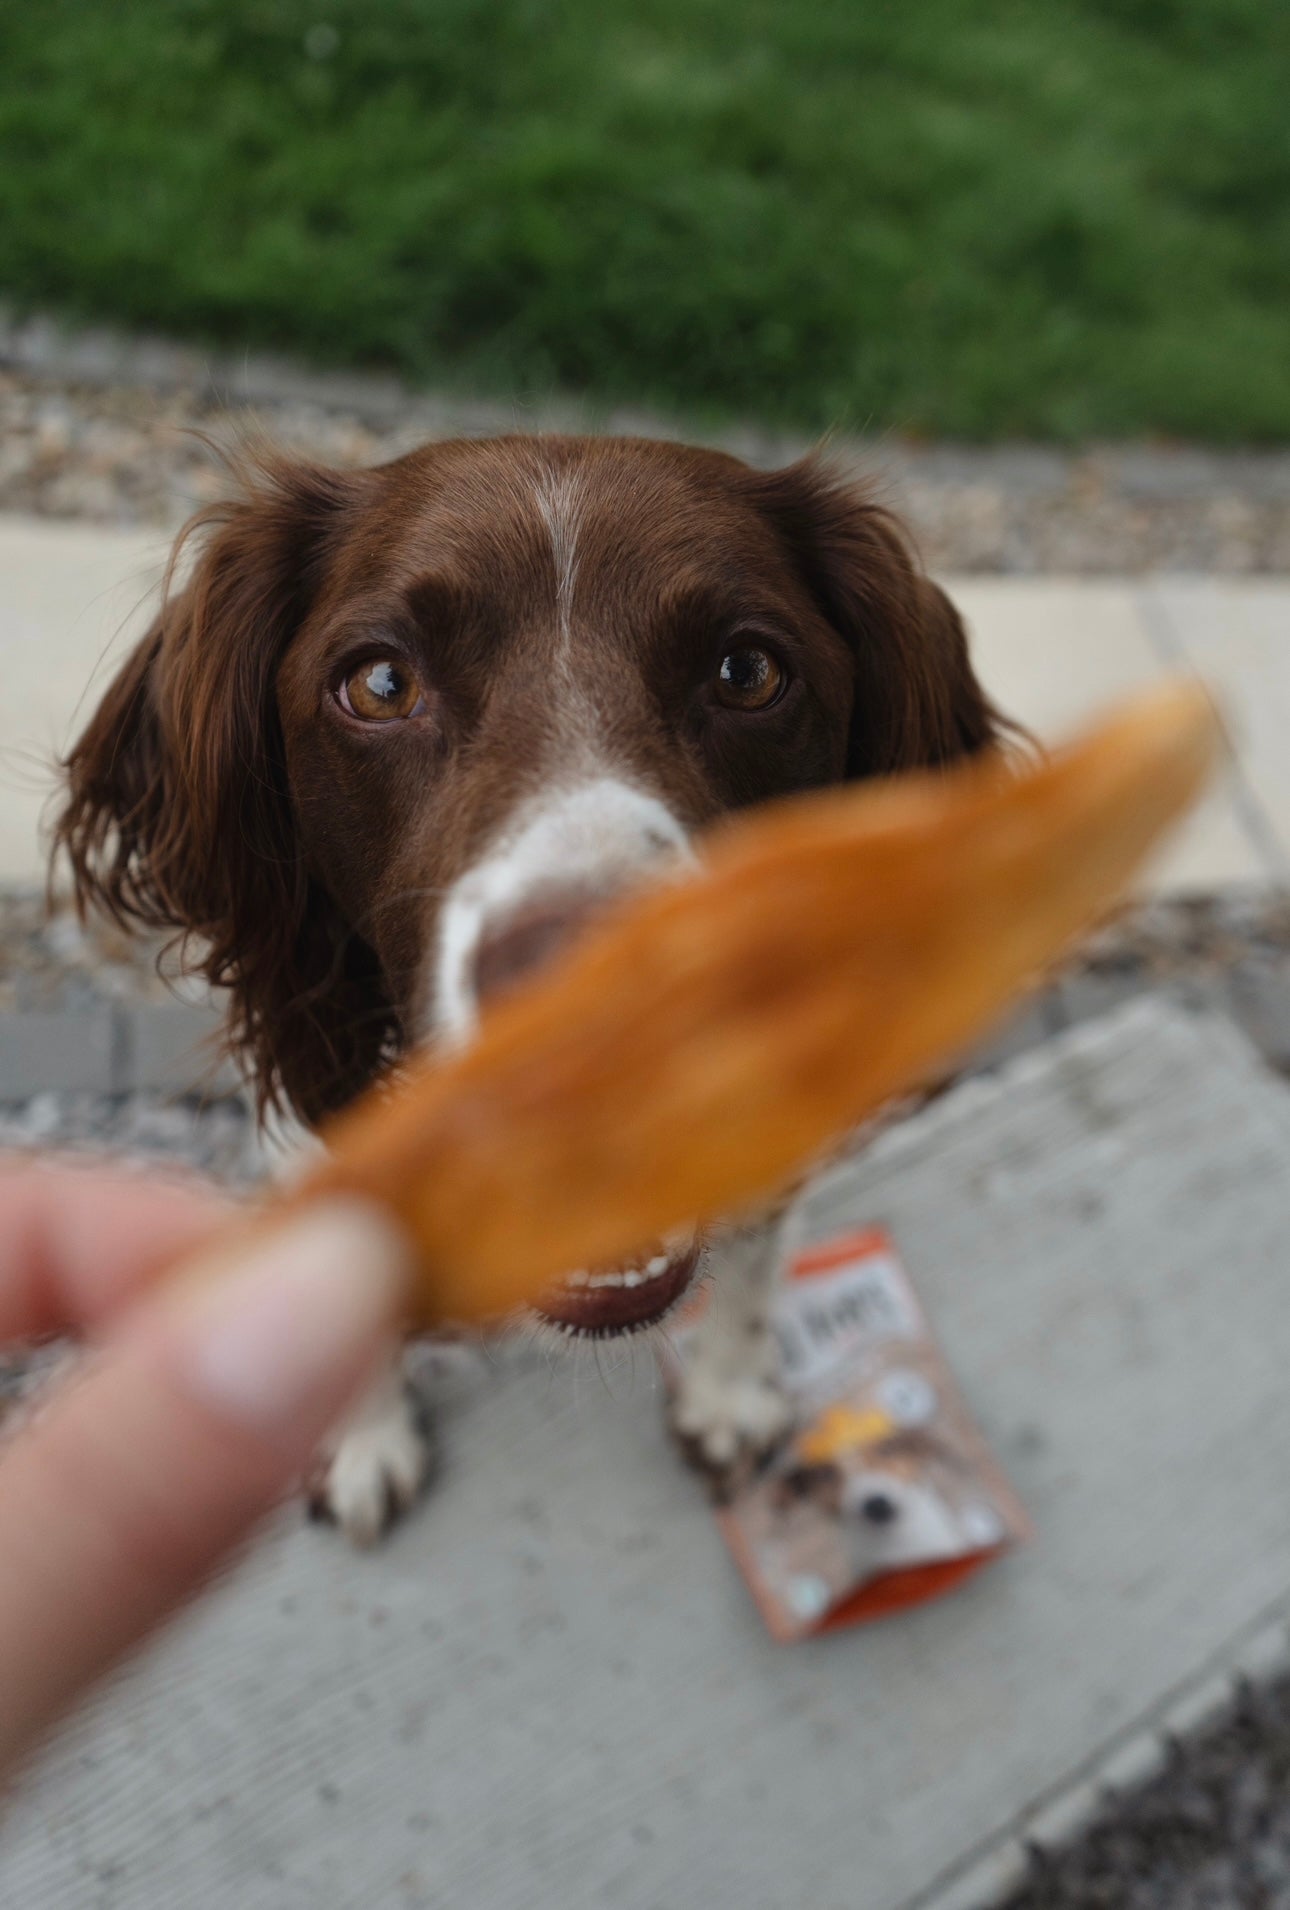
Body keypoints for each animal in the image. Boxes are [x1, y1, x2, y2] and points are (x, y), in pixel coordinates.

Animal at [53, 429, 1009, 1535]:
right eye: (381, 684)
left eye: (748, 670)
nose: (608, 1011)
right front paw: (360, 1437)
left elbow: (757, 1257)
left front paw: (730, 1396)